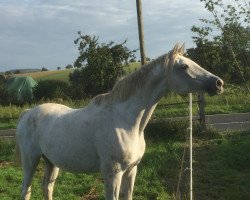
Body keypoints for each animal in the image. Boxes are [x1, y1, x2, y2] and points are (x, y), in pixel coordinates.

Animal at [15, 44, 223, 200]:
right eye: (184, 67)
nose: (218, 83)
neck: (125, 121)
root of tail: (28, 113)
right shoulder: (113, 174)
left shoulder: (131, 171)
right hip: (30, 160)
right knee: (26, 189)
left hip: (51, 162)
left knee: (47, 187)